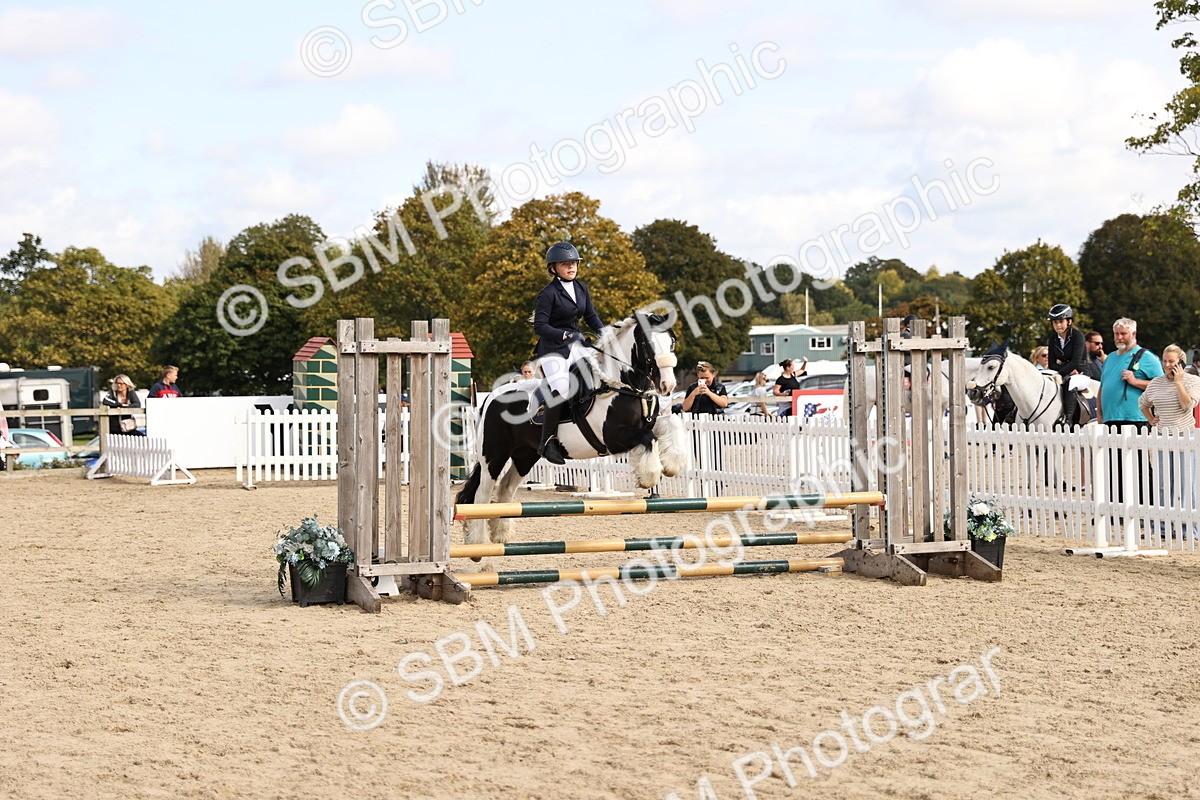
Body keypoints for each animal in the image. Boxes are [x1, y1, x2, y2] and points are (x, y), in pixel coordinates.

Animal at [456, 312, 688, 548]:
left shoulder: (647, 423)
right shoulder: (613, 438)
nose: (668, 385)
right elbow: (649, 438)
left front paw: (672, 464)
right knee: (482, 495)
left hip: (525, 455)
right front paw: (649, 477)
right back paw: (479, 541)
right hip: (494, 456)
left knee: (505, 489)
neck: (622, 386)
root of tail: (490, 397)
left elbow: (672, 423)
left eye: (671, 342)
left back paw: (501, 535)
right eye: (648, 343)